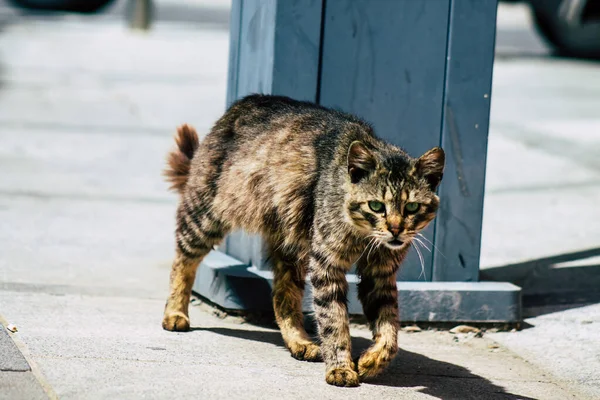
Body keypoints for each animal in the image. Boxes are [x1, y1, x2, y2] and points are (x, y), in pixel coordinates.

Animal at [162, 94, 442, 388]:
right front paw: (340, 367)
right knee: (182, 261)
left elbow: (389, 328)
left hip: (292, 247)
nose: (396, 229)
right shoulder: (326, 264)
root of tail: (245, 102)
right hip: (207, 216)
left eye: (412, 207)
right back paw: (175, 313)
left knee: (282, 296)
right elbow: (334, 320)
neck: (363, 236)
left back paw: (299, 342)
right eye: (376, 206)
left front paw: (372, 360)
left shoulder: (380, 274)